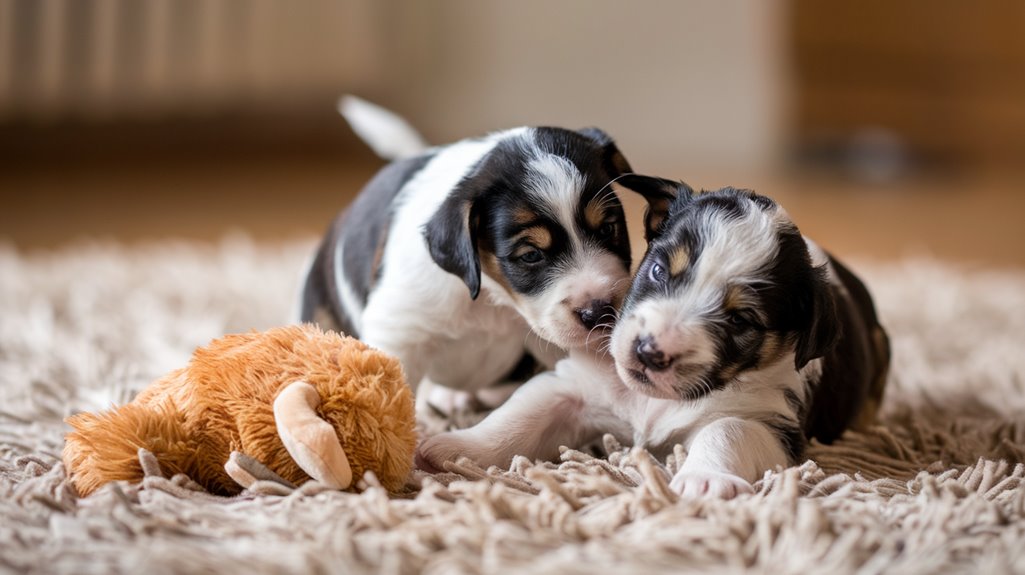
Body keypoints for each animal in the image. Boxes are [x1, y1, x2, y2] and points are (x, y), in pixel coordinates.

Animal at [418, 176, 889, 498]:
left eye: (741, 320)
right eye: (660, 270)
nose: (647, 352)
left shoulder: (772, 420)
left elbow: (727, 431)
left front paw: (704, 480)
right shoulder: (574, 386)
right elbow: (519, 416)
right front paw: (457, 447)